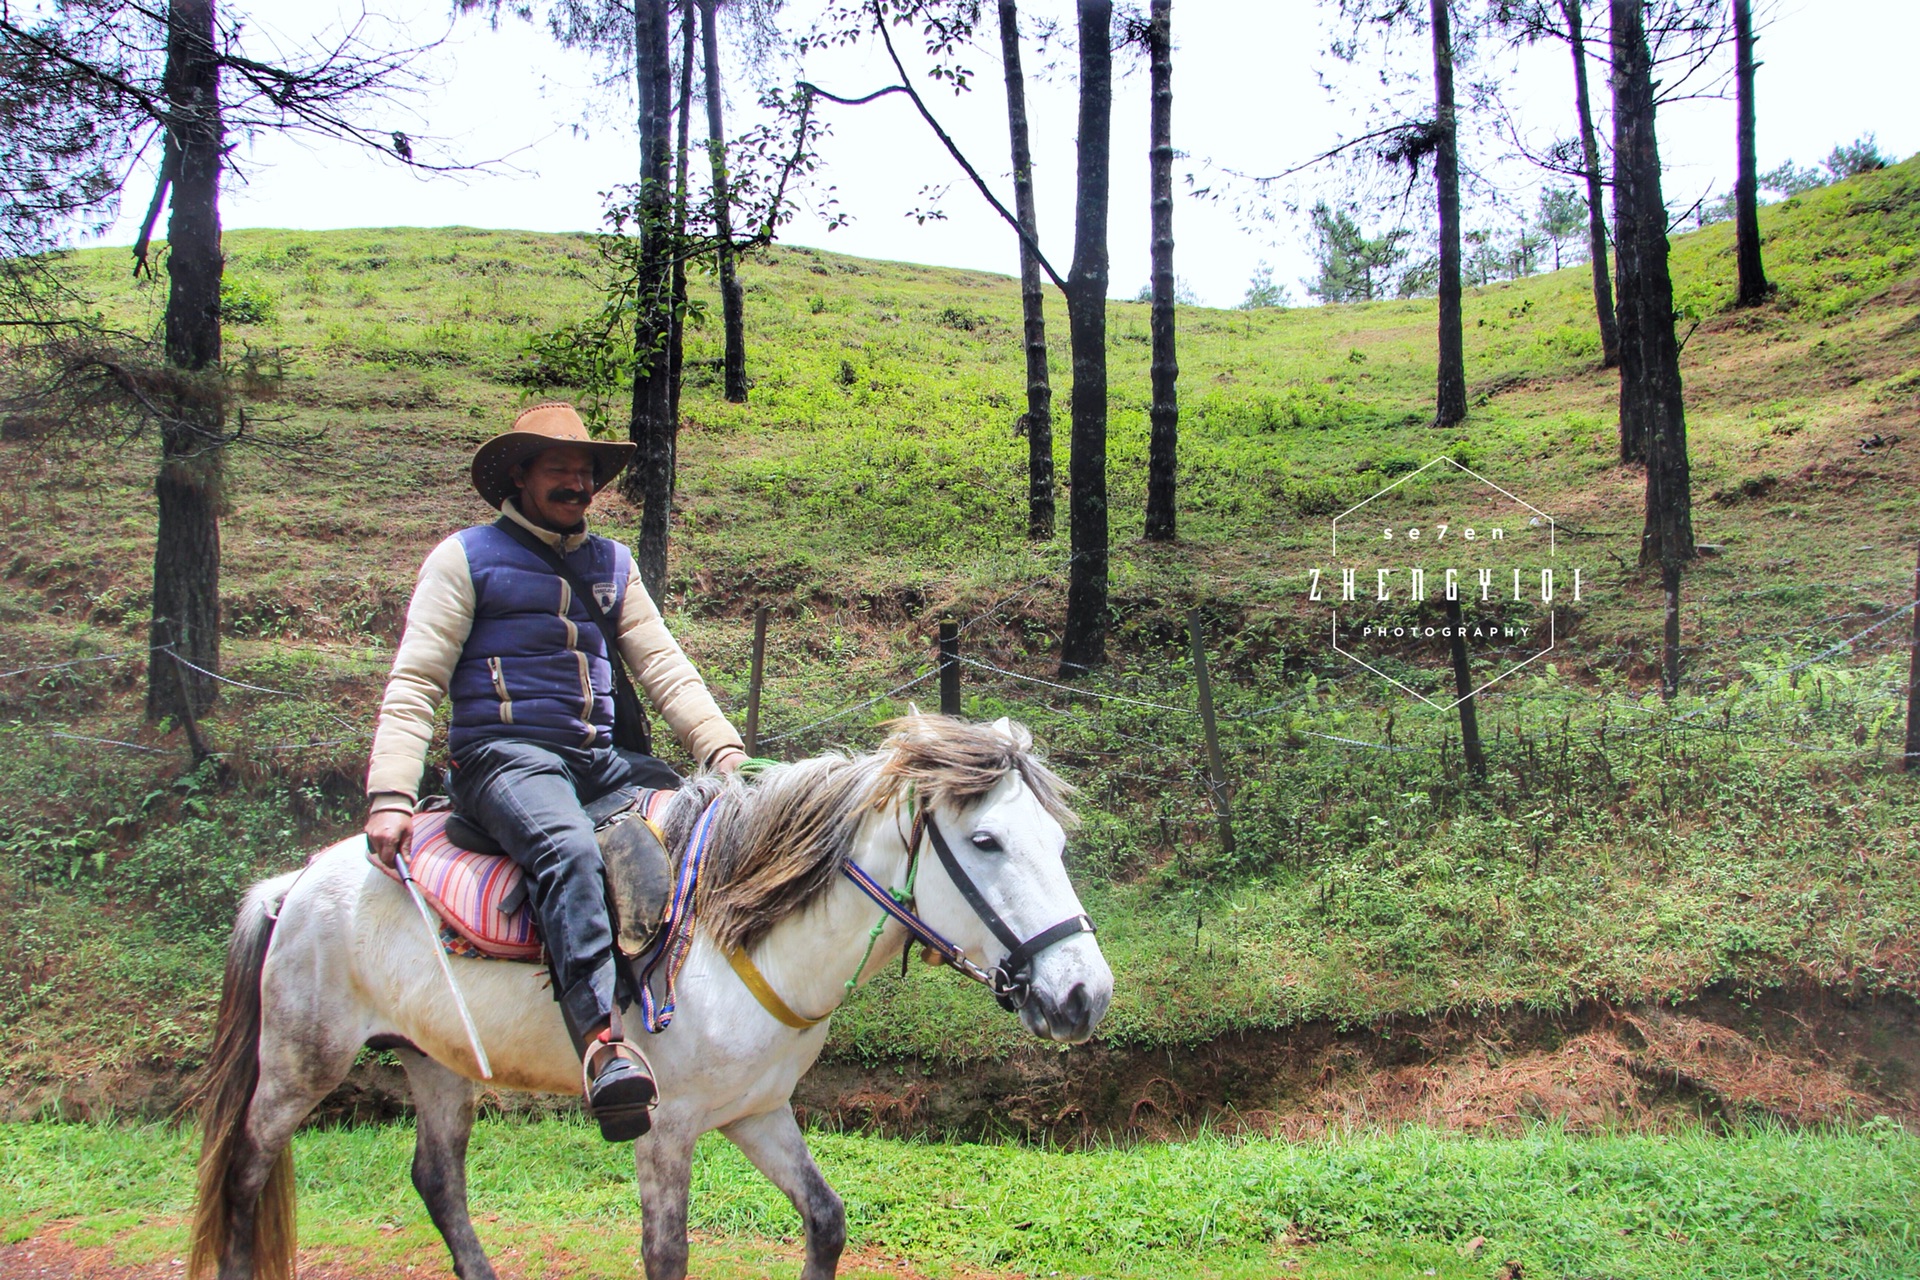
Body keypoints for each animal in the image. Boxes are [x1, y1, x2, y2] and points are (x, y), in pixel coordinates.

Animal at [183, 721, 1113, 1280]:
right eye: (986, 841)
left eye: (1056, 839)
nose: (1085, 994)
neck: (735, 937)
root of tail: (295, 882)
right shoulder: (663, 1132)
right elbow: (666, 1256)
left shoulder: (757, 1112)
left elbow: (826, 1220)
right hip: (301, 1060)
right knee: (246, 1165)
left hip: (435, 1061)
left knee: (438, 1180)